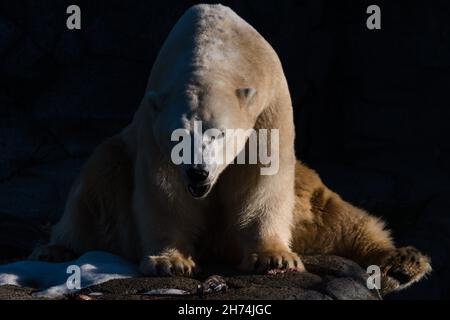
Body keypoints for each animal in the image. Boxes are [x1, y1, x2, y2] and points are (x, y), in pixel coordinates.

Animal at [29, 4, 430, 296]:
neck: (213, 49)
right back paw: (56, 249)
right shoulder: (153, 130)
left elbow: (264, 181)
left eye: (217, 134)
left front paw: (273, 259)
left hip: (305, 190)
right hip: (116, 160)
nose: (198, 173)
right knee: (96, 183)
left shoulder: (268, 108)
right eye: (178, 137)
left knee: (331, 213)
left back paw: (401, 262)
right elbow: (163, 192)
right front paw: (171, 262)